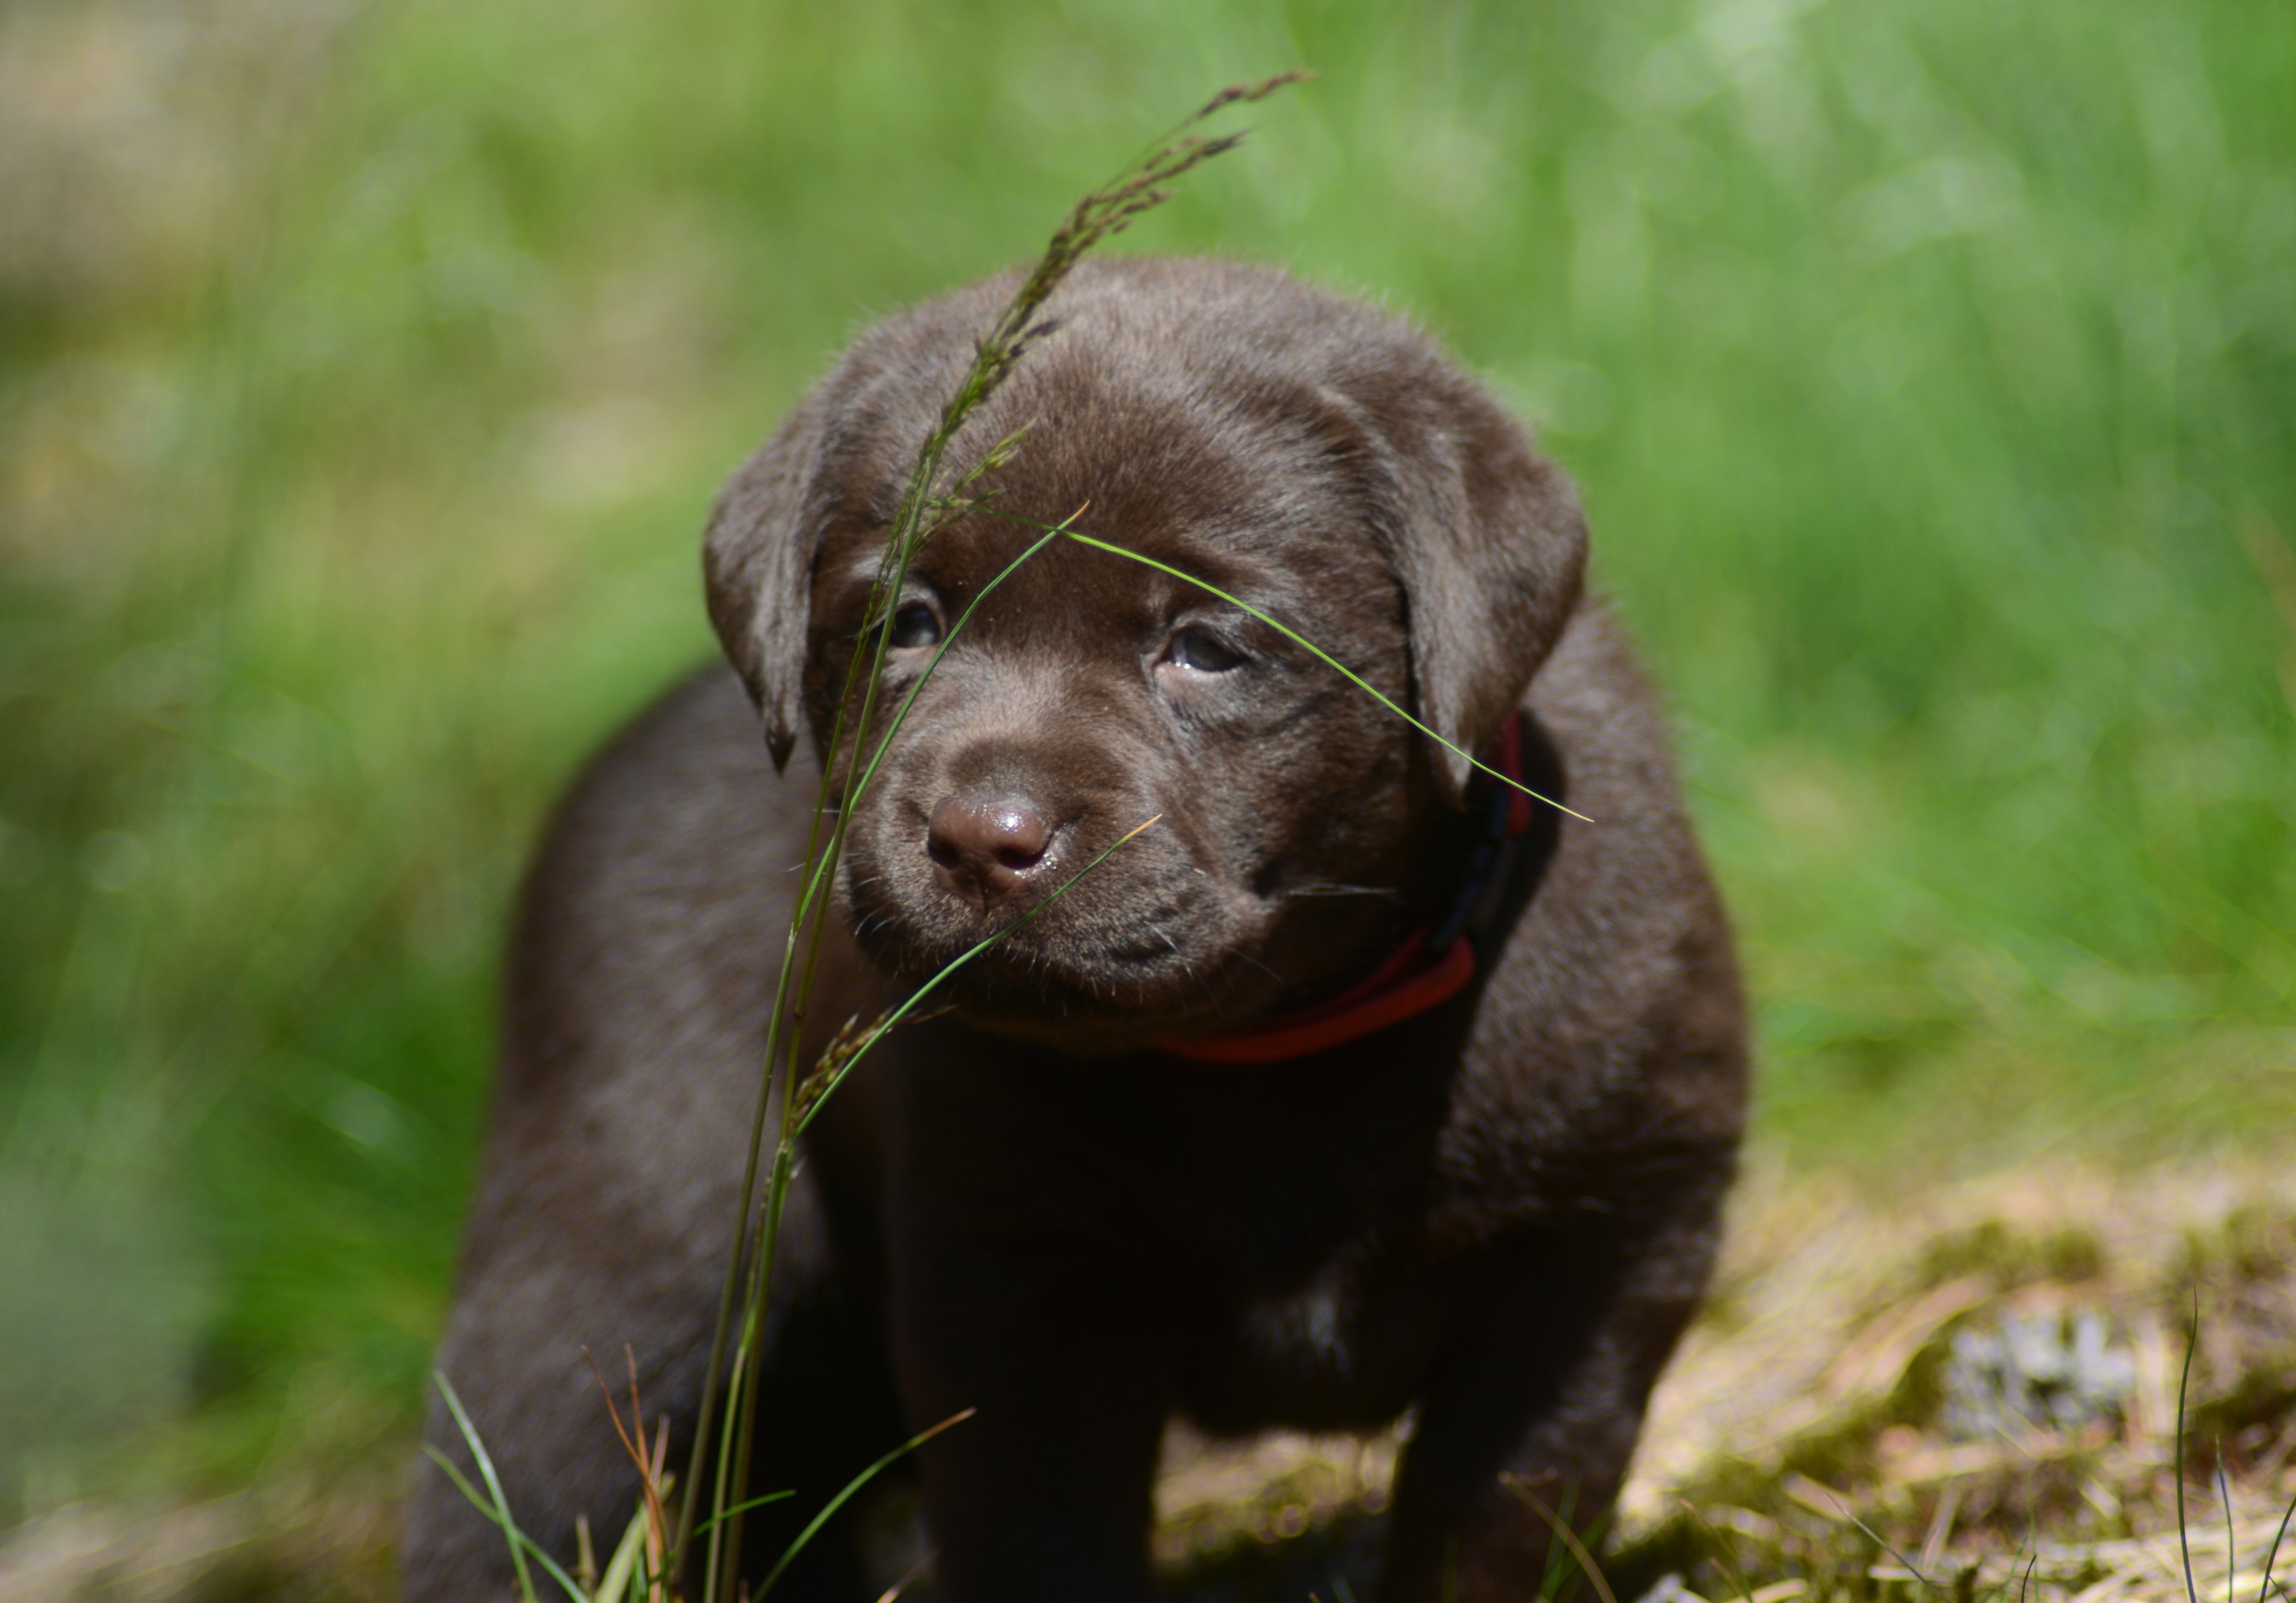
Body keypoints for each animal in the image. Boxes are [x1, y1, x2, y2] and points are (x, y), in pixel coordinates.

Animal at [403, 256, 1748, 1602]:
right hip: (618, 1255)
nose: (978, 837)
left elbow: (1496, 1520)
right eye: (908, 621)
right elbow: (1040, 1536)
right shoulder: (1010, 1283)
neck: (1274, 1044)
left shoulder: (1601, 1253)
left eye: (1203, 646)